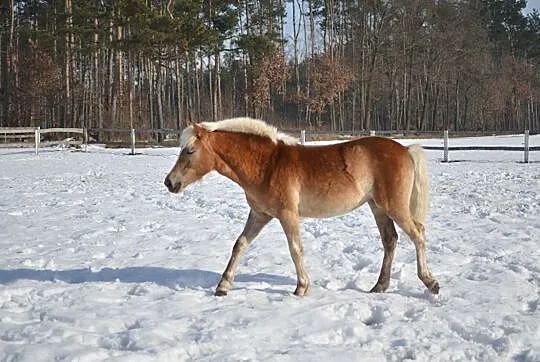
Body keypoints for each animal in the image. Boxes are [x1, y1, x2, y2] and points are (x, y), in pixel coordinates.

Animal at [165, 118, 438, 296]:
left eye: (190, 151)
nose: (170, 182)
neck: (267, 164)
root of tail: (405, 149)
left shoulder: (288, 215)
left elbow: (295, 249)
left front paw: (301, 287)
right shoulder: (260, 215)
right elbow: (240, 245)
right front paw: (223, 286)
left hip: (394, 206)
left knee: (418, 233)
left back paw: (430, 282)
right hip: (378, 207)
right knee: (390, 240)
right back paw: (380, 286)